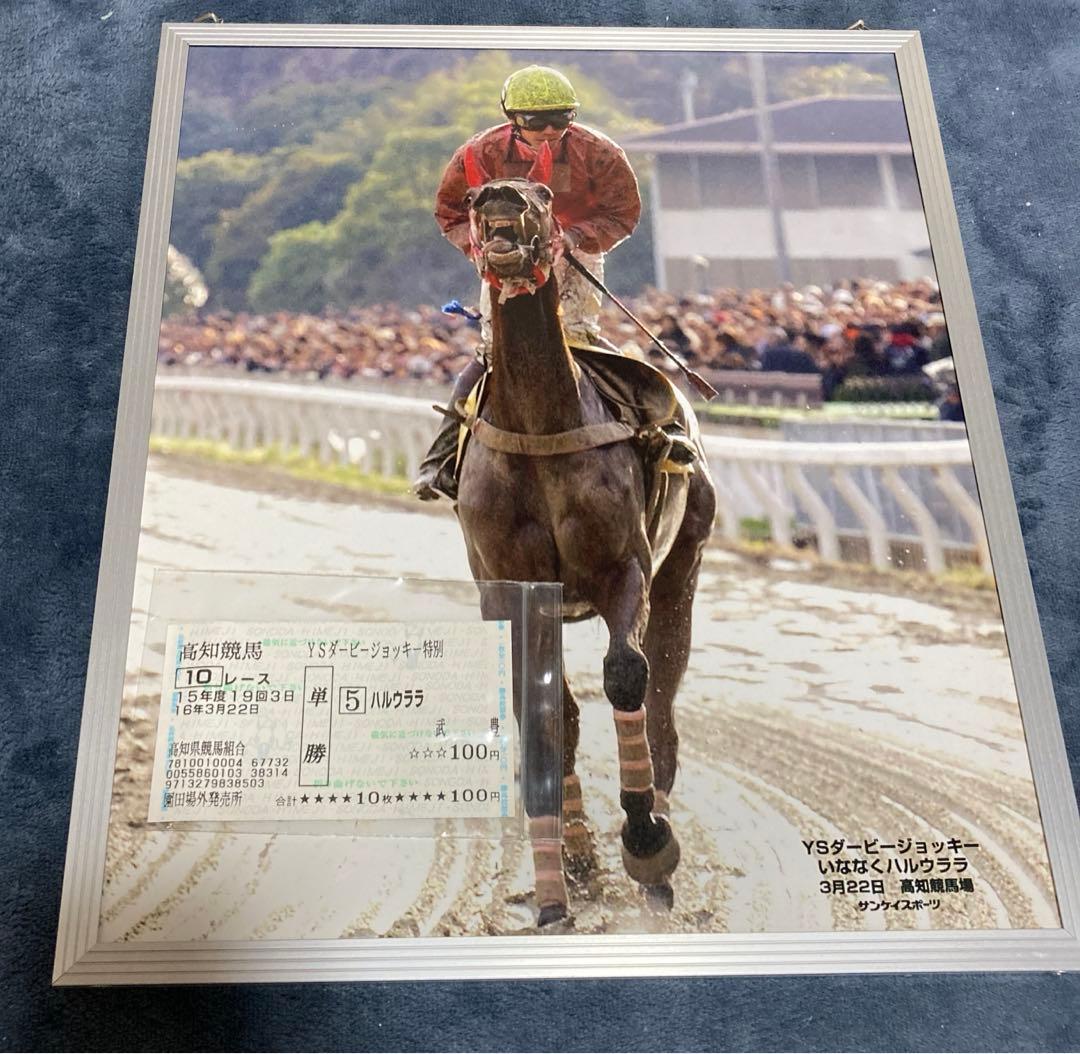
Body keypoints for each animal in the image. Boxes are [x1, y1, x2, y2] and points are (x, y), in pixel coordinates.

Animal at [453, 177, 716, 927]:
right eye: (474, 193)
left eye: (543, 193)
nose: (500, 195)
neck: (542, 423)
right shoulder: (511, 589)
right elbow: (546, 716)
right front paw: (558, 885)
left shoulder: (622, 567)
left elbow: (626, 673)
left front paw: (646, 839)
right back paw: (580, 857)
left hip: (682, 568)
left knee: (661, 697)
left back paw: (656, 839)